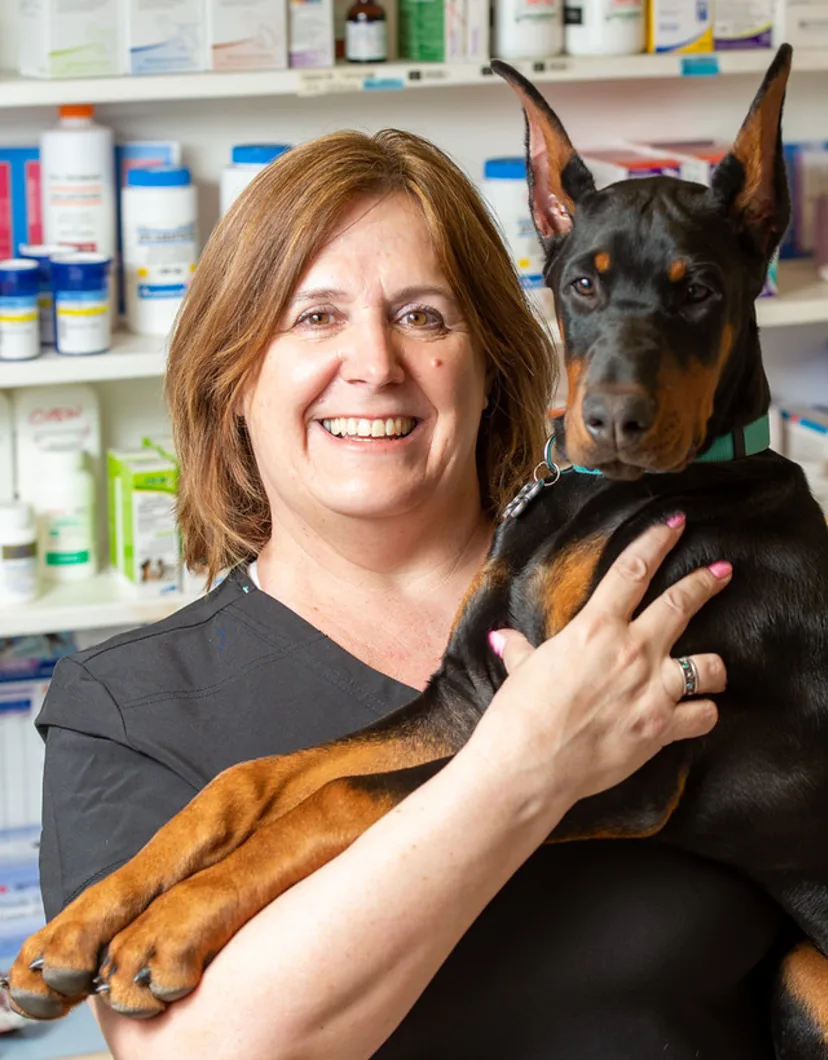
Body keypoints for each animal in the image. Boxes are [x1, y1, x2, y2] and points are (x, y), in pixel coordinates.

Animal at [6, 43, 826, 1060]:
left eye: (701, 290)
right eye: (582, 284)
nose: (612, 421)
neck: (608, 495)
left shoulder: (626, 765)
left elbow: (341, 797)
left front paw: (166, 928)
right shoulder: (473, 697)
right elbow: (254, 778)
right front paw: (79, 925)